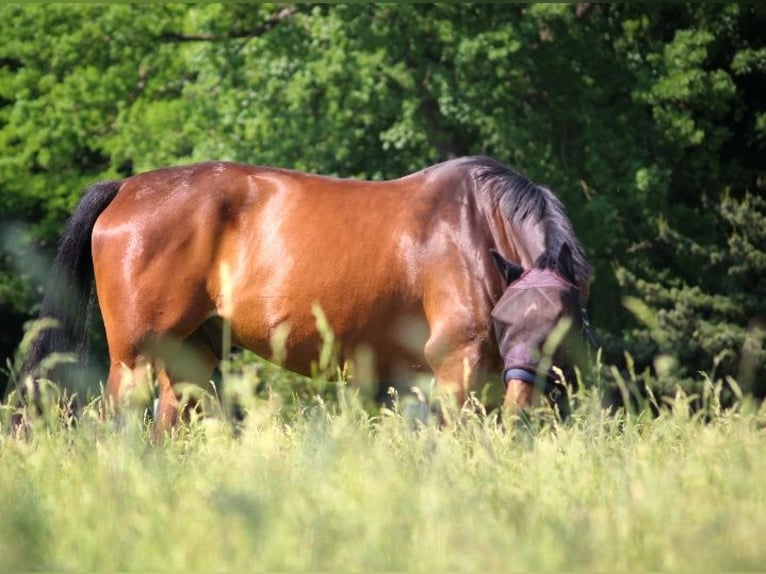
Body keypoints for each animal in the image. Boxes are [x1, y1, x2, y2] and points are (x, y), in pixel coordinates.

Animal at [20, 156, 593, 431]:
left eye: (560, 322)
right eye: (506, 321)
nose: (523, 405)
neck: (476, 227)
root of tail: (126, 188)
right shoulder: (456, 367)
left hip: (189, 359)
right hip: (133, 359)